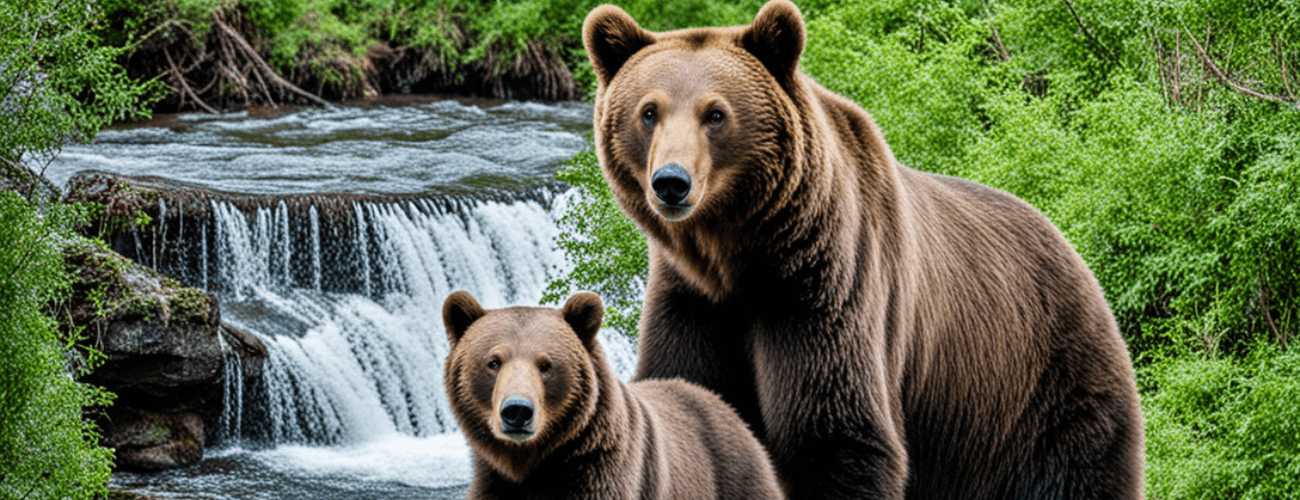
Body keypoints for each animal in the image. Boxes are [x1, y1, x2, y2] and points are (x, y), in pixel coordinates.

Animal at [442, 290, 785, 500]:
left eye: (546, 364)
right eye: (493, 361)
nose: (517, 411)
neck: (531, 461)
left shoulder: (604, 472)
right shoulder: (495, 482)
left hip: (733, 474)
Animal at [582, 2, 1145, 499]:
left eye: (716, 113)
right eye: (648, 112)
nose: (671, 182)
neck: (735, 257)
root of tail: (1069, 247)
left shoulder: (827, 287)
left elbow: (836, 437)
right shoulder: (692, 302)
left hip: (1042, 393)